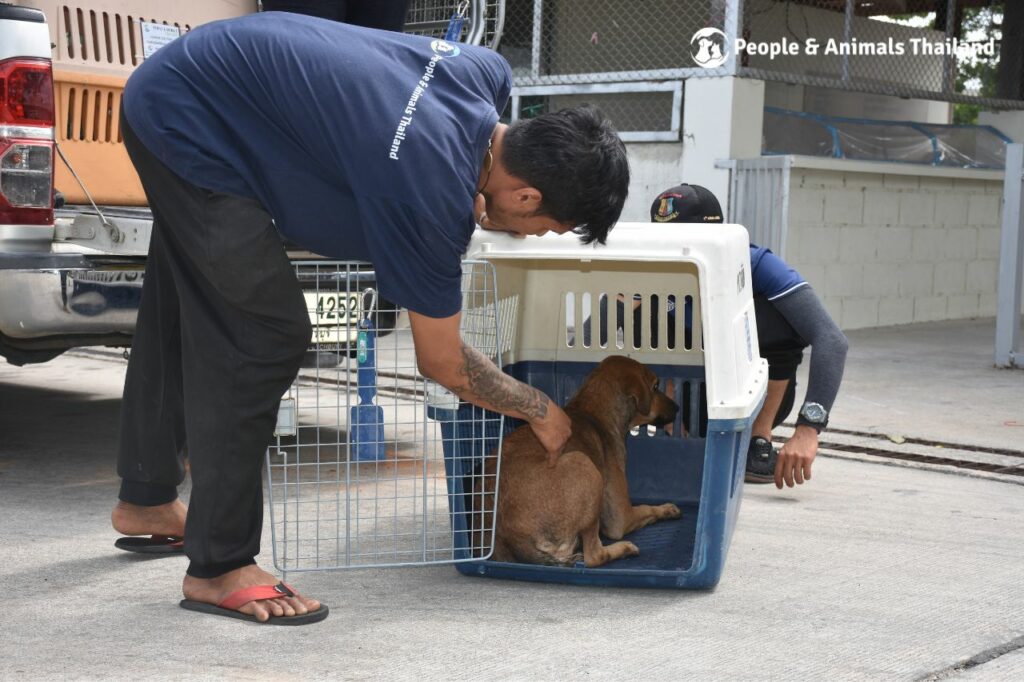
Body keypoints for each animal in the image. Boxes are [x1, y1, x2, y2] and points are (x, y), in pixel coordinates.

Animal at [475, 352, 684, 565]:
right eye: (655, 386)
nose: (677, 408)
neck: (592, 410)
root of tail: (511, 537)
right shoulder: (621, 517)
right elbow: (646, 508)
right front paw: (667, 509)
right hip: (585, 466)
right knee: (594, 555)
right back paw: (623, 549)